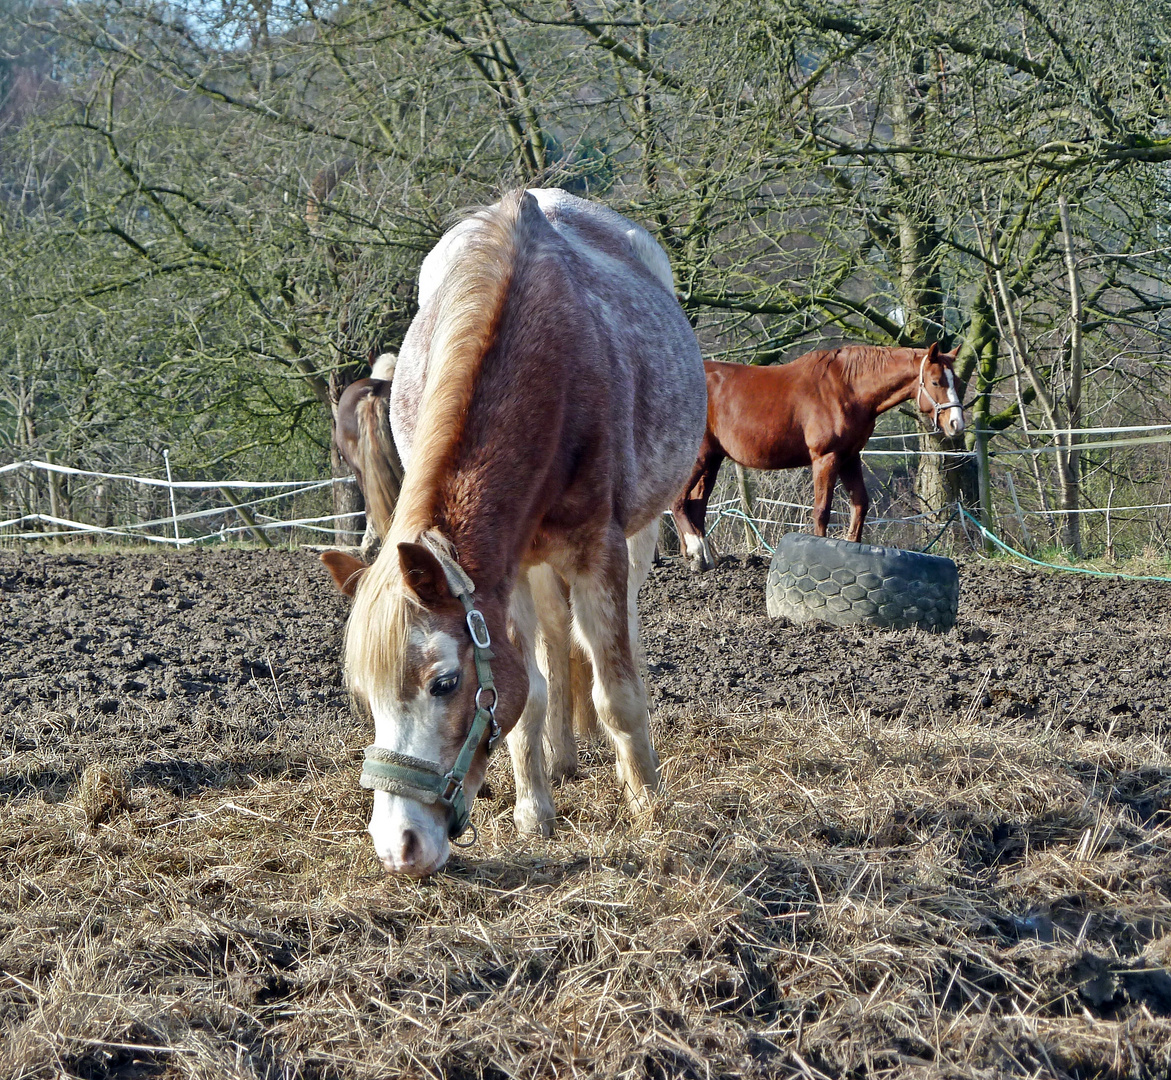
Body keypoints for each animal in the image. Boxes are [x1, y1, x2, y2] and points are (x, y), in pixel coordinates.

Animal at [318, 187, 702, 876]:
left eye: (444, 683)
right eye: (365, 697)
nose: (399, 846)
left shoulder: (599, 552)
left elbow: (619, 694)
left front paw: (651, 809)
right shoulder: (508, 571)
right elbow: (533, 693)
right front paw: (534, 812)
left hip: (639, 534)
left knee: (616, 639)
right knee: (555, 641)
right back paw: (563, 758)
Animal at [674, 342, 964, 571]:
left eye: (958, 382)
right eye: (936, 382)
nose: (956, 425)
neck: (846, 388)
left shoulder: (850, 458)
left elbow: (860, 504)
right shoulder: (825, 458)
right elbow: (822, 510)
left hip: (712, 459)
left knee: (696, 505)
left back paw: (706, 558)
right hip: (698, 458)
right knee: (678, 503)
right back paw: (696, 554)